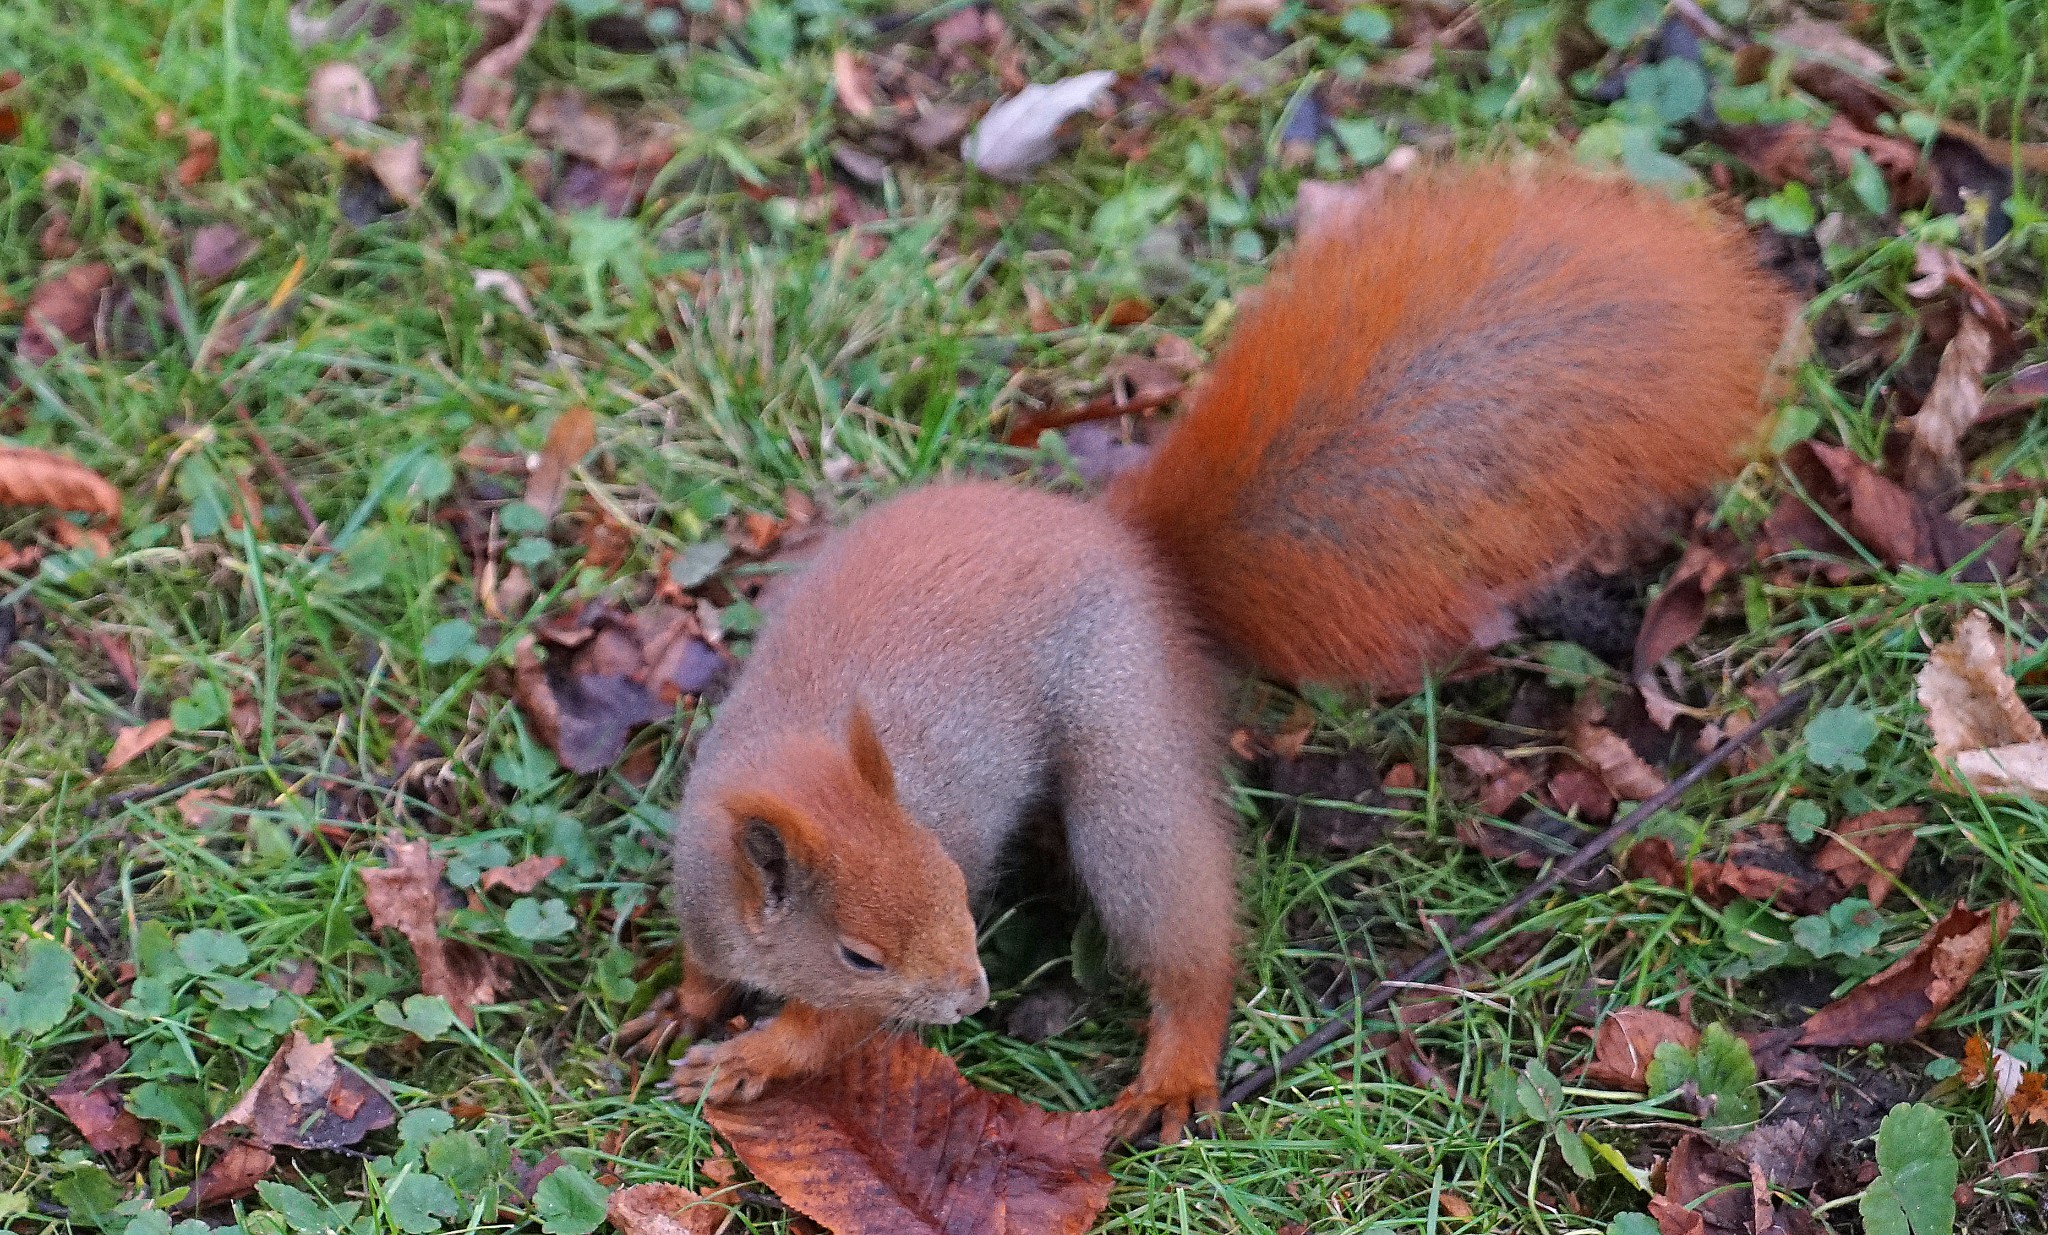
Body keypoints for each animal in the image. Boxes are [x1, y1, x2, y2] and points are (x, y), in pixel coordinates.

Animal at [667, 161, 1794, 1138]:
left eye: (956, 878)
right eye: (858, 950)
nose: (972, 992)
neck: (803, 767)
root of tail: (1133, 547)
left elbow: (840, 1033)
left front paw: (755, 1053)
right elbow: (715, 960)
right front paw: (688, 998)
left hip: (1124, 744)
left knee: (1185, 928)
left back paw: (1176, 1066)